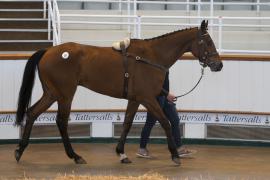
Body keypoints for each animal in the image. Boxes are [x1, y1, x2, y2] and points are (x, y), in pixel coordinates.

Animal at [14, 20, 221, 165]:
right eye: (208, 41)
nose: (218, 65)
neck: (151, 57)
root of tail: (48, 51)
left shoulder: (136, 99)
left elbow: (127, 123)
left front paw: (121, 153)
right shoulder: (148, 98)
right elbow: (165, 122)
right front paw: (175, 155)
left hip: (51, 93)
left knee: (32, 112)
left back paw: (20, 150)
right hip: (65, 95)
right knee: (61, 121)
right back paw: (75, 156)